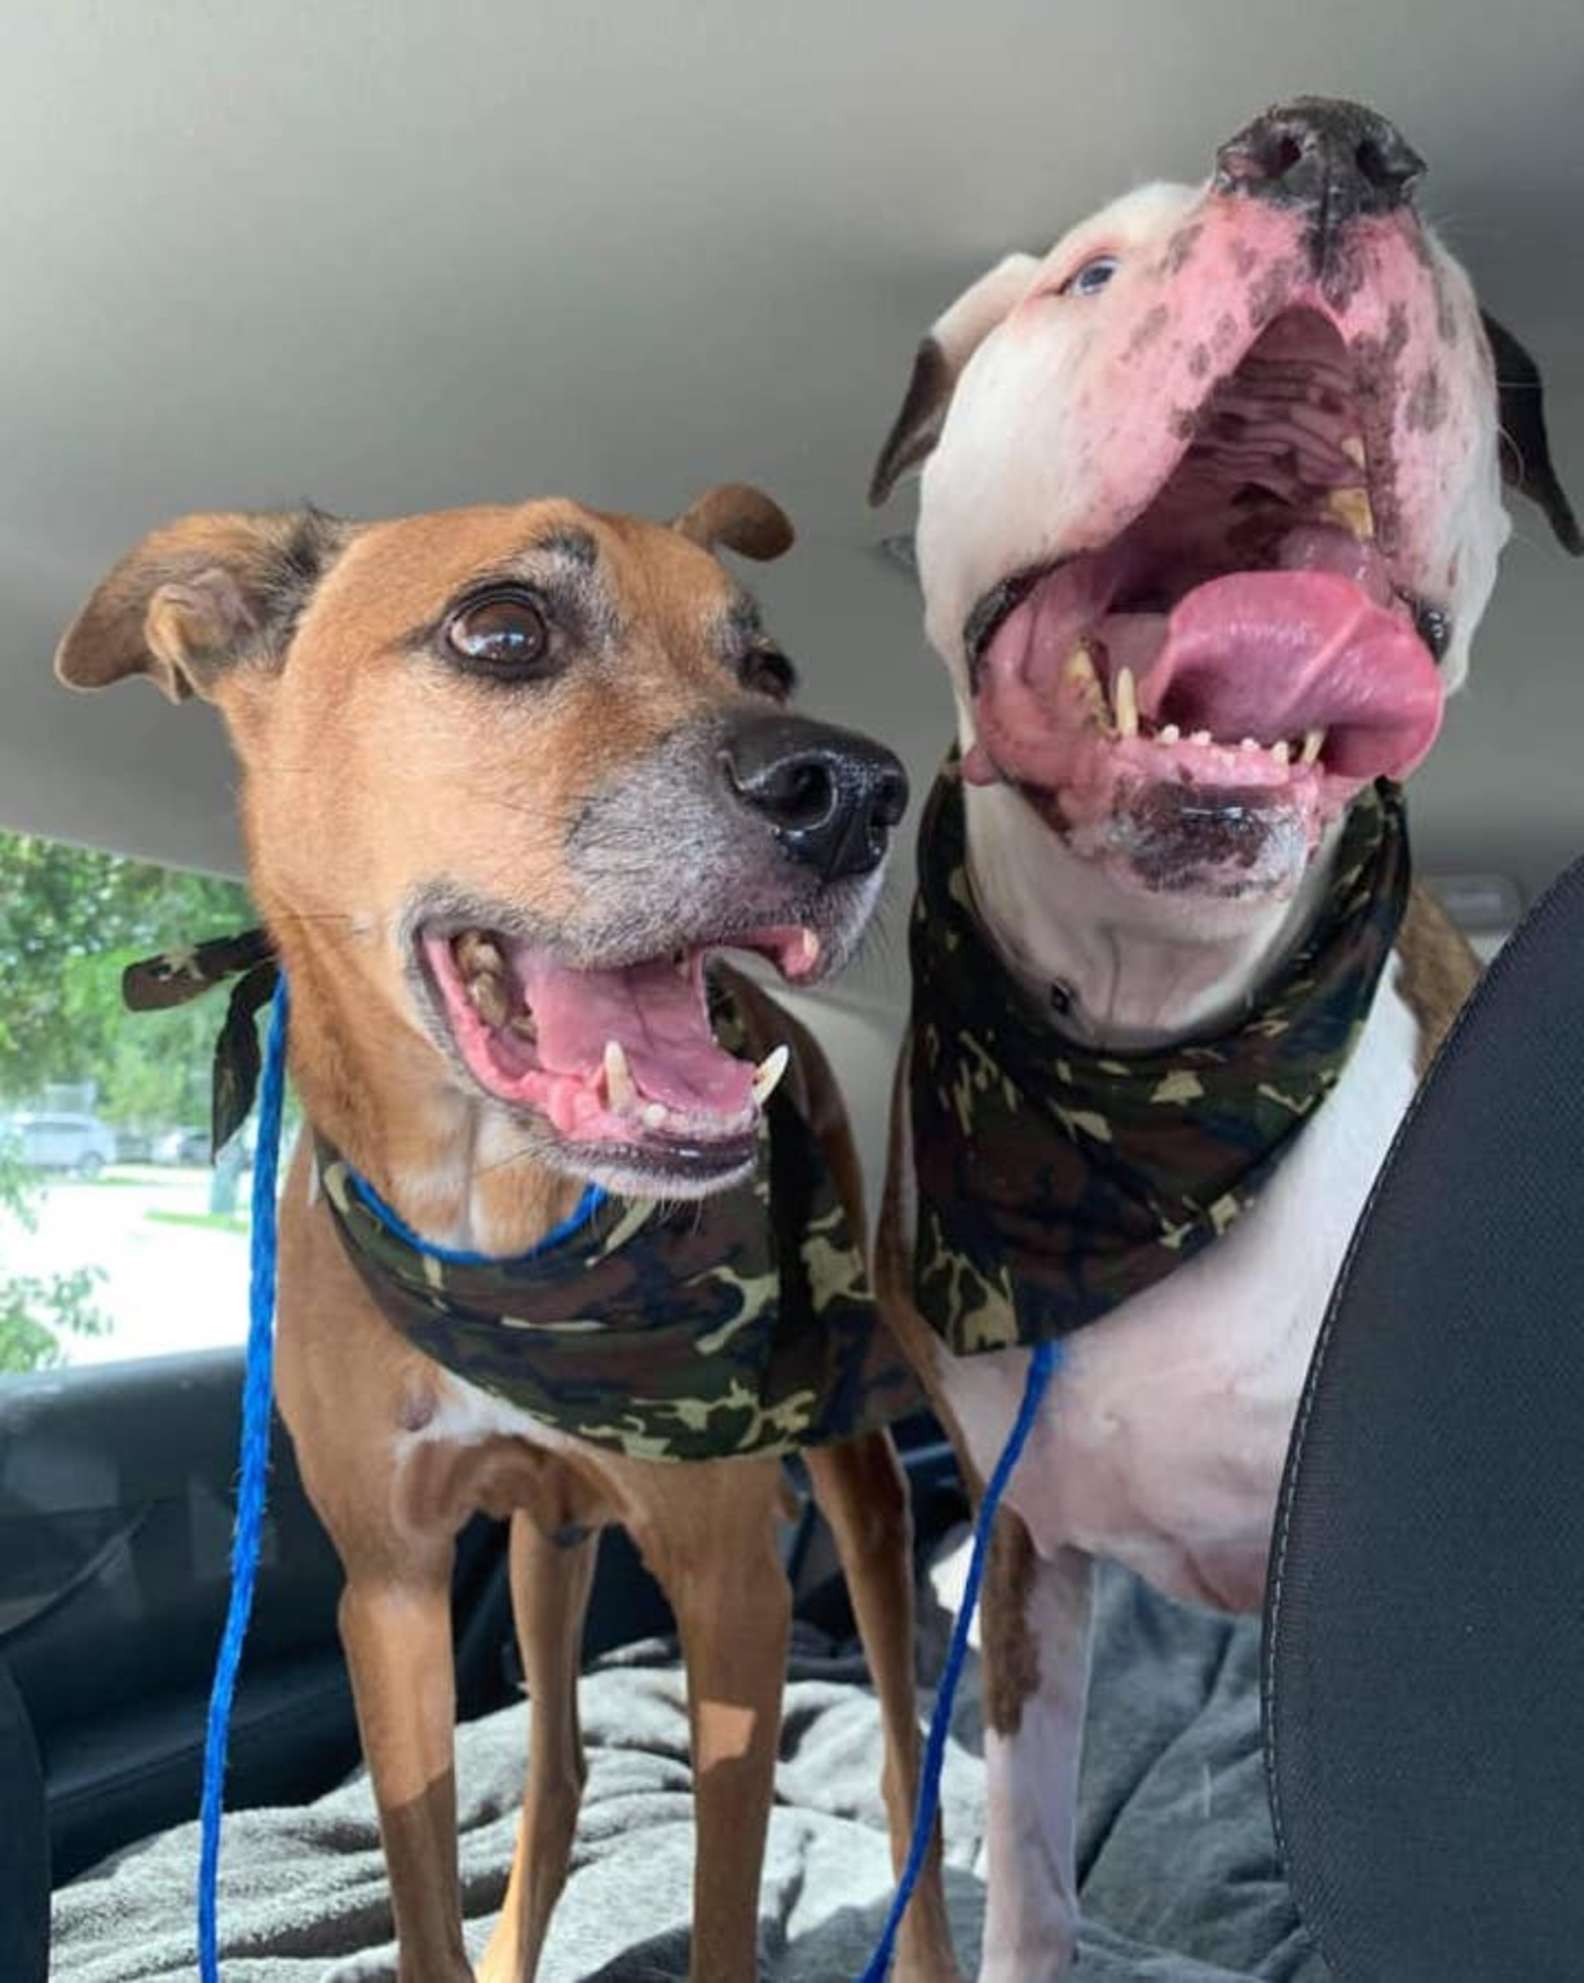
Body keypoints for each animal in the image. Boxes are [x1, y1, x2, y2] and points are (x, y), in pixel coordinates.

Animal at [58, 491, 955, 1983]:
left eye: (768, 667)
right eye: (503, 629)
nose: (855, 790)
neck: (494, 1231)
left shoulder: (732, 1587)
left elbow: (725, 1911)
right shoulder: (393, 1591)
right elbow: (423, 1881)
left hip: (856, 1478)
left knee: (901, 1750)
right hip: (546, 1547)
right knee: (560, 1766)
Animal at [872, 93, 1578, 1983]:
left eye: (1467, 330)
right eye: (1087, 274)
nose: (1331, 144)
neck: (1147, 1053)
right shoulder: (1024, 1549)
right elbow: (1029, 1866)